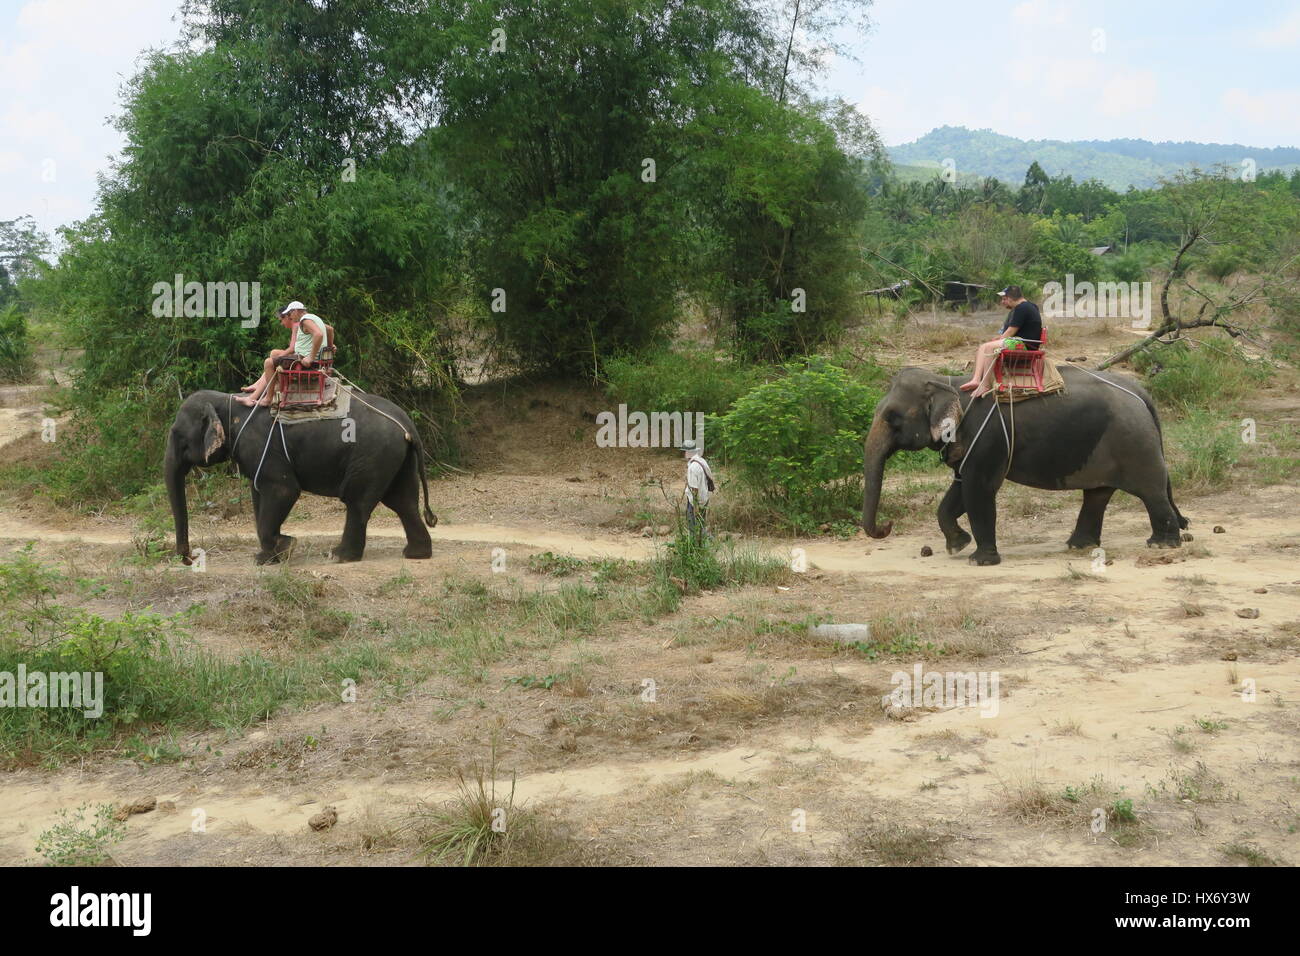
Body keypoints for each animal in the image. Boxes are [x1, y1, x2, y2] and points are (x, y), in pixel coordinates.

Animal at [165, 392, 439, 564]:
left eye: (178, 435)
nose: (189, 559)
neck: (226, 400)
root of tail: (407, 424)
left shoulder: (259, 445)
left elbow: (283, 490)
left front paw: (285, 547)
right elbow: (259, 495)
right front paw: (269, 557)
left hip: (372, 454)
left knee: (358, 502)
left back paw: (338, 556)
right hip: (395, 457)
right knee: (402, 502)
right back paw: (415, 554)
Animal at [863, 364, 1190, 561]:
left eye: (892, 418)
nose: (887, 526)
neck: (948, 382)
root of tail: (1141, 393)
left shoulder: (988, 439)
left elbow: (978, 490)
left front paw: (980, 561)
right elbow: (957, 493)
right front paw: (958, 544)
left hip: (1134, 443)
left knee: (1151, 491)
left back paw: (1161, 544)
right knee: (1097, 495)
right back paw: (1079, 546)